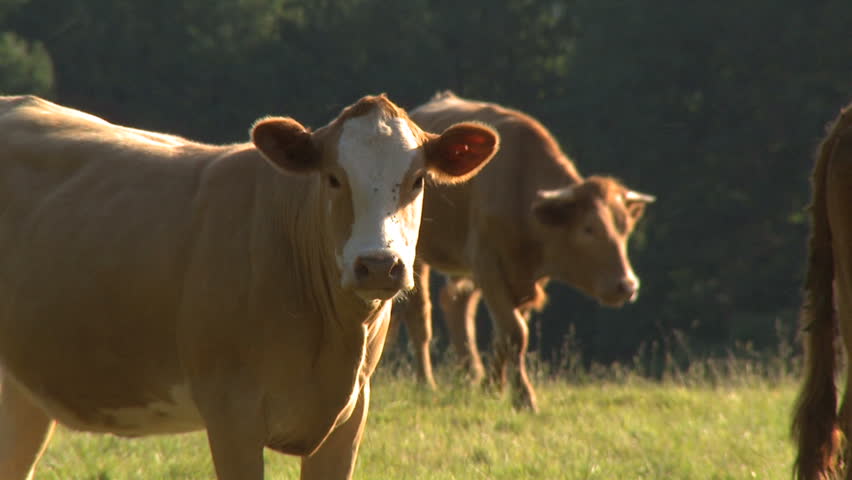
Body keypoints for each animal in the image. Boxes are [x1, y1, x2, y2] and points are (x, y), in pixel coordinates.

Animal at [0, 94, 498, 480]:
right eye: (333, 178)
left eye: (417, 180)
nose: (378, 265)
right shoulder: (231, 414)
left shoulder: (348, 419)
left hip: (23, 396)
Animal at [391, 91, 654, 412]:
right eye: (588, 228)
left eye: (625, 227)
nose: (626, 285)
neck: (520, 188)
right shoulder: (488, 265)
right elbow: (515, 333)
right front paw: (523, 397)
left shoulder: (525, 278)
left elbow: (507, 334)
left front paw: (493, 386)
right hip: (418, 256)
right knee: (419, 314)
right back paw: (426, 382)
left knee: (455, 301)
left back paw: (470, 374)